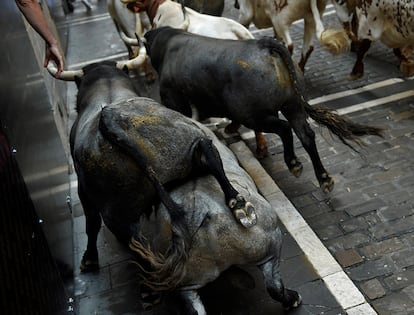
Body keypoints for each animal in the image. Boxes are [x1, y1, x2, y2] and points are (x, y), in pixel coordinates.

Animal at [72, 60, 258, 282]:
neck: (106, 84)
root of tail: (111, 121)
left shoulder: (83, 190)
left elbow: (91, 223)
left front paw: (89, 259)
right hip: (191, 142)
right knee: (209, 154)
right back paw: (240, 205)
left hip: (118, 216)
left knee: (139, 249)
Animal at [145, 27, 384, 193]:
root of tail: (264, 44)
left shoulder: (174, 99)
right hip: (293, 106)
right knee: (306, 134)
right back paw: (324, 178)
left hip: (254, 115)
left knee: (284, 128)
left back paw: (294, 164)